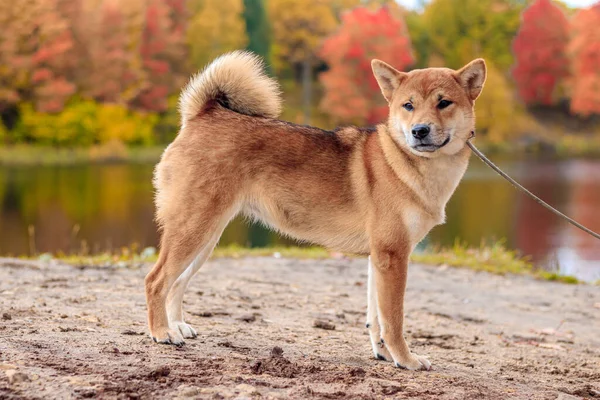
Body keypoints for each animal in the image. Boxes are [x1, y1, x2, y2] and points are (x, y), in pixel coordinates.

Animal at [146, 51, 488, 370]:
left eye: (444, 103)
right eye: (408, 105)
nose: (419, 130)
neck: (404, 162)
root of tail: (204, 115)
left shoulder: (380, 257)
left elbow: (376, 318)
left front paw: (384, 354)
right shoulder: (393, 256)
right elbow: (394, 320)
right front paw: (406, 360)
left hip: (204, 238)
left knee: (176, 284)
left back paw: (177, 326)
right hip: (193, 230)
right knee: (156, 281)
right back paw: (162, 333)